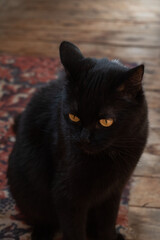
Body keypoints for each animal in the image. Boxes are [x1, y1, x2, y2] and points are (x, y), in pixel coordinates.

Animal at [7, 41, 148, 240]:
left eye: (105, 121)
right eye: (74, 117)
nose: (83, 138)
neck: (109, 156)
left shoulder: (113, 191)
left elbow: (107, 223)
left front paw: (109, 236)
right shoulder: (67, 196)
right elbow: (74, 231)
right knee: (41, 220)